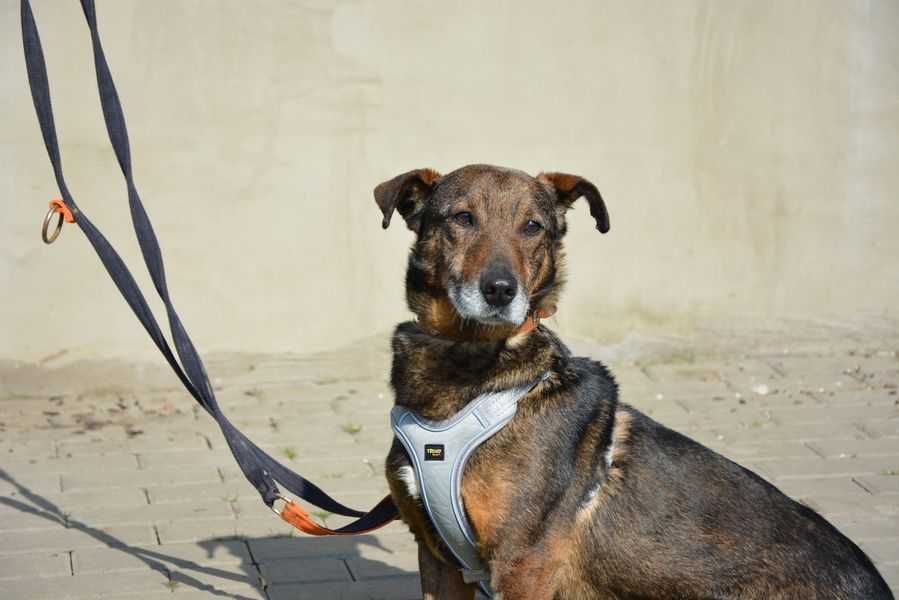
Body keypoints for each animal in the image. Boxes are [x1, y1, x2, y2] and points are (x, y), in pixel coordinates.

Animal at [374, 164, 892, 599]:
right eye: (462, 218)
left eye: (532, 227)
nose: (501, 291)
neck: (470, 365)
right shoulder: (438, 560)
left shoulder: (521, 565)